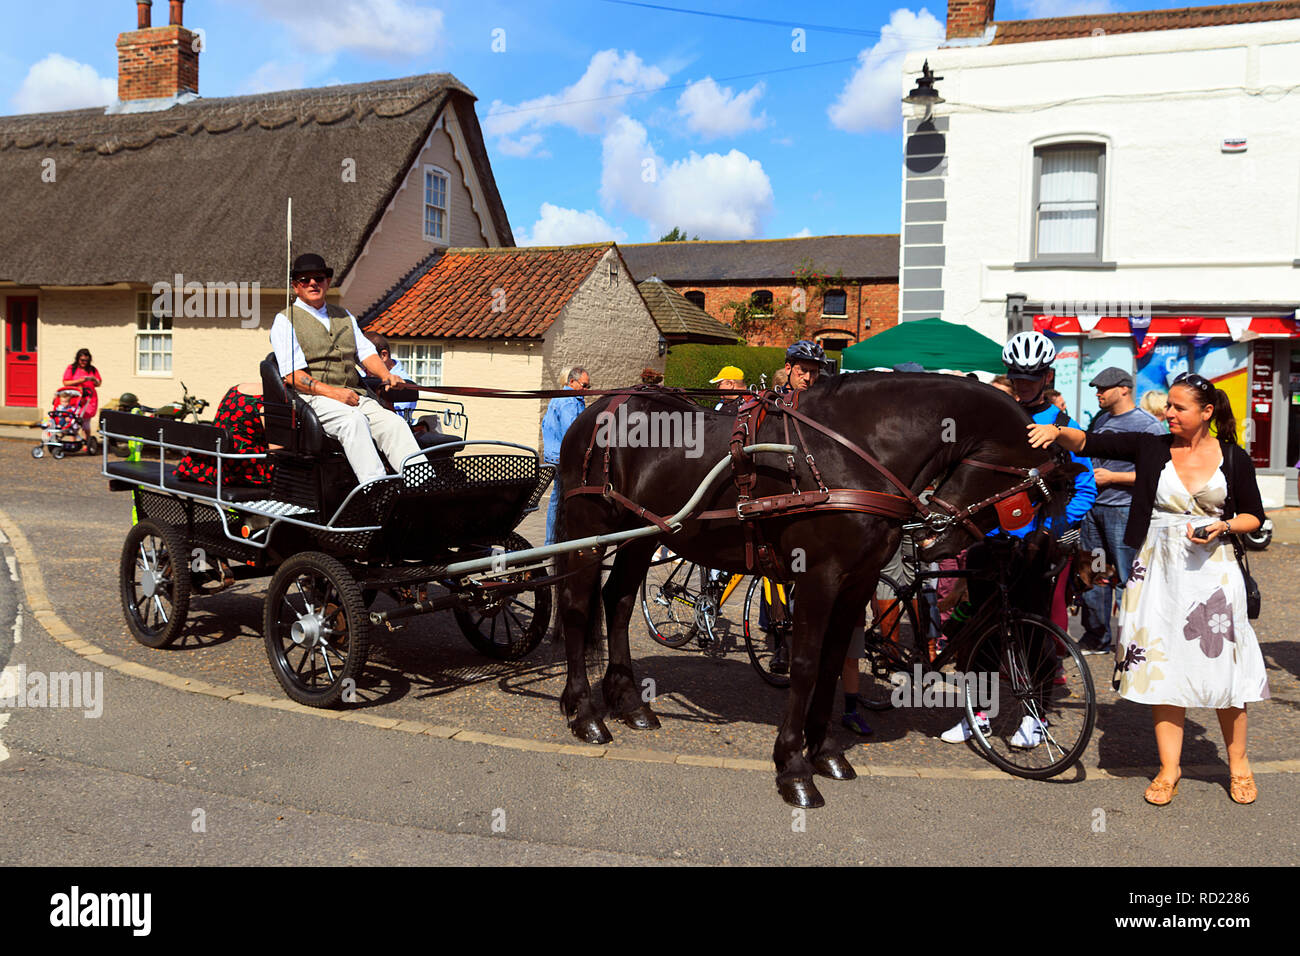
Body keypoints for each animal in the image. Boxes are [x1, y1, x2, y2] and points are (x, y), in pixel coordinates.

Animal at [553, 374, 1071, 806]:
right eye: (1033, 492)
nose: (935, 535)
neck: (855, 449)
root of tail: (597, 408)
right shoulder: (819, 578)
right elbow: (804, 665)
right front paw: (793, 765)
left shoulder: (857, 581)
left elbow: (834, 660)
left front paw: (824, 753)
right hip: (588, 532)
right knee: (577, 609)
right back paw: (584, 712)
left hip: (642, 535)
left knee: (618, 602)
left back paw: (628, 702)